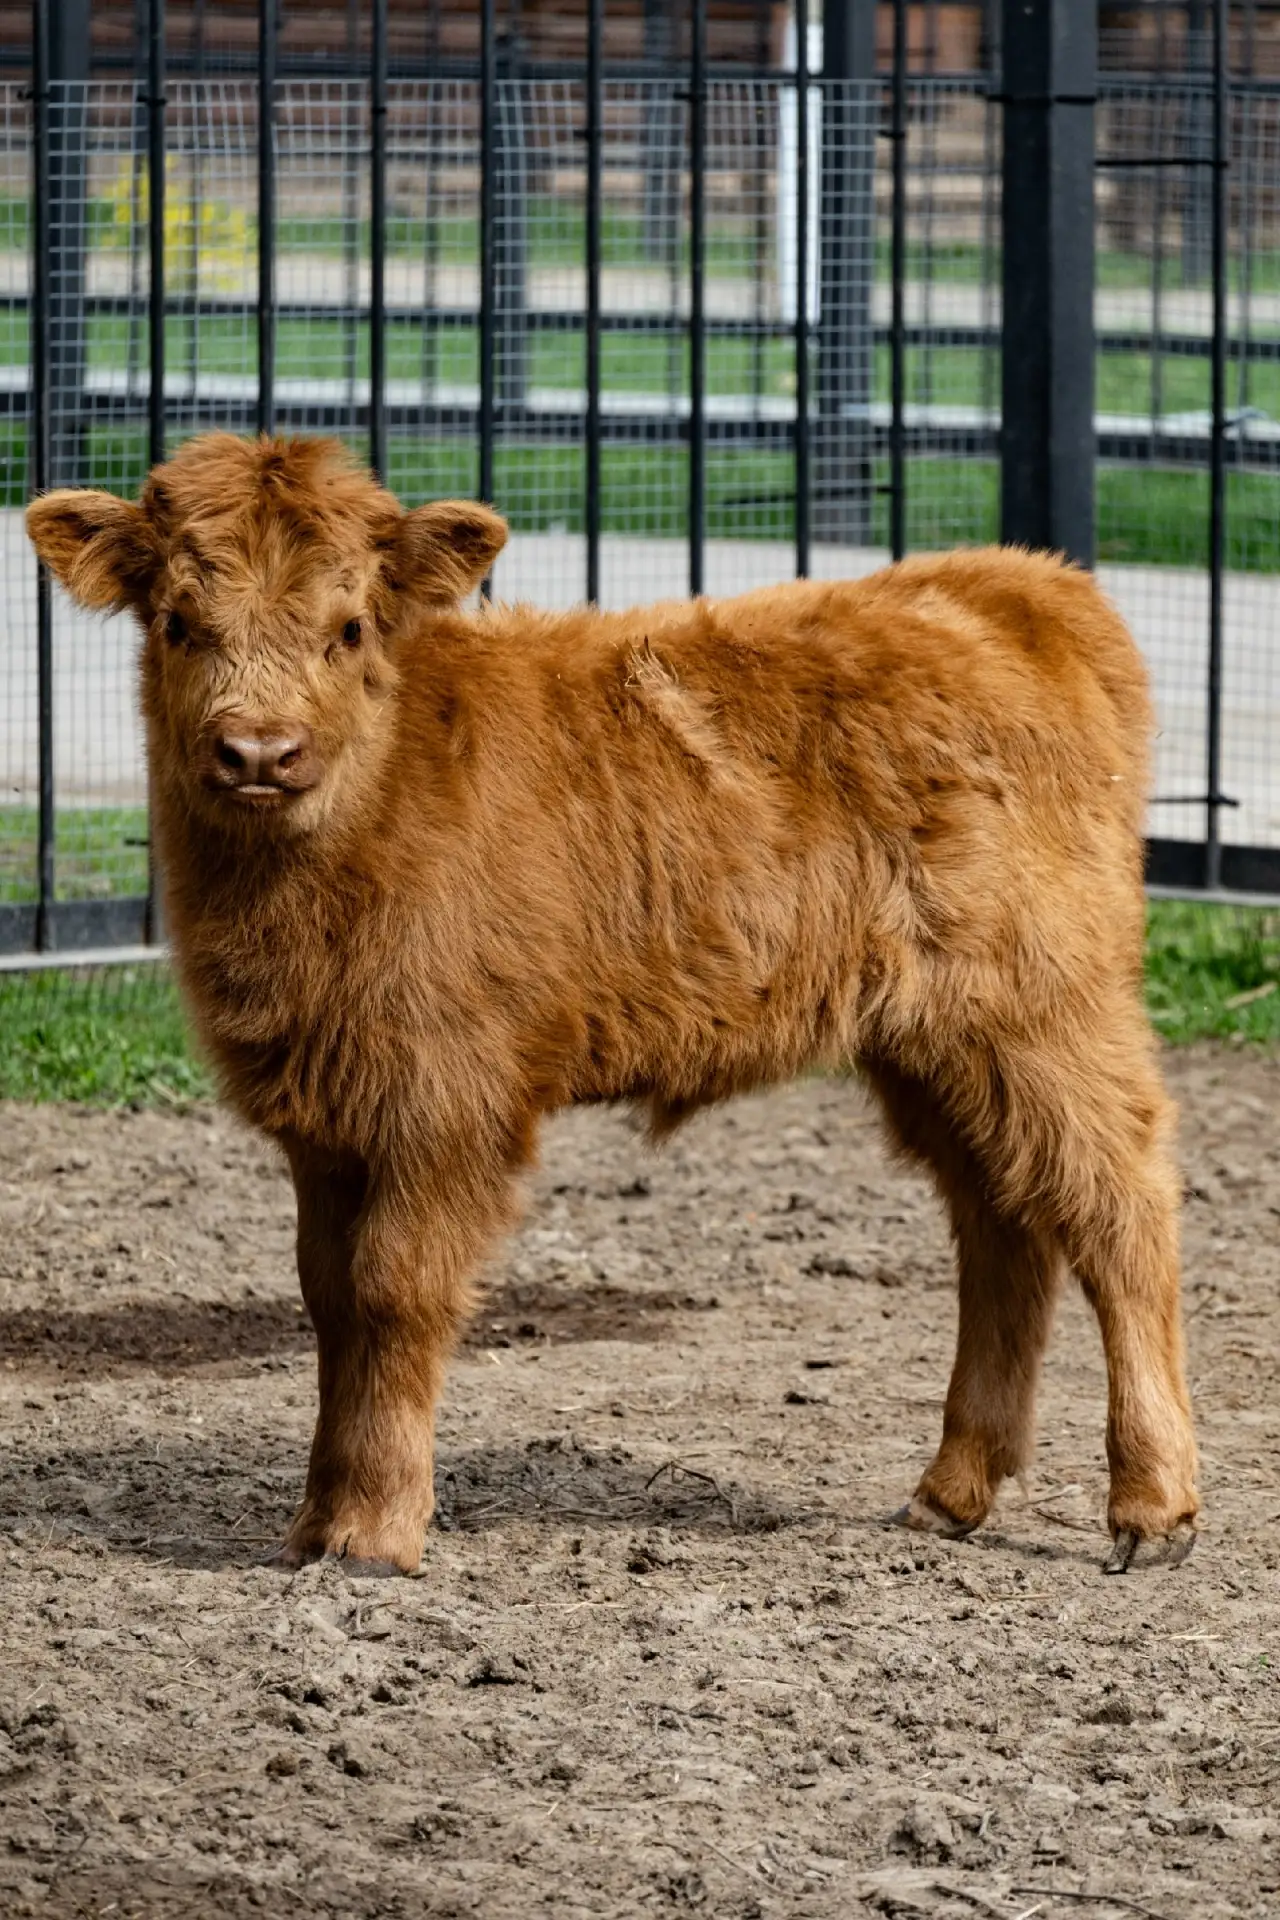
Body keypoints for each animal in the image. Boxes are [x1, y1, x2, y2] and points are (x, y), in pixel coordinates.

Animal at [27, 432, 1199, 1577]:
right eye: (178, 622)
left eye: (348, 626)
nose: (259, 752)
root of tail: (1012, 584)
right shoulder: (325, 1117)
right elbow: (328, 1297)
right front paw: (315, 1521)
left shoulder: (442, 1101)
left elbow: (394, 1291)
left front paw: (374, 1533)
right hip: (931, 1046)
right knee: (1002, 1223)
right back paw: (950, 1492)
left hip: (1042, 1010)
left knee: (1117, 1205)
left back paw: (1151, 1504)